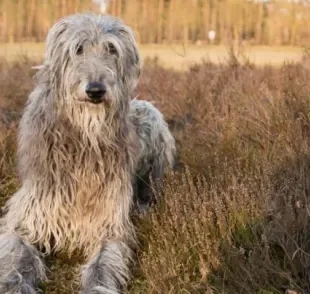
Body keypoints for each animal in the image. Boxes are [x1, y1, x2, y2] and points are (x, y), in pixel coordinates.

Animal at [0, 13, 176, 294]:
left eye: (111, 49)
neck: (85, 138)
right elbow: (17, 258)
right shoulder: (27, 218)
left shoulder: (109, 226)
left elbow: (102, 268)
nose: (95, 90)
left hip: (150, 116)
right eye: (78, 49)